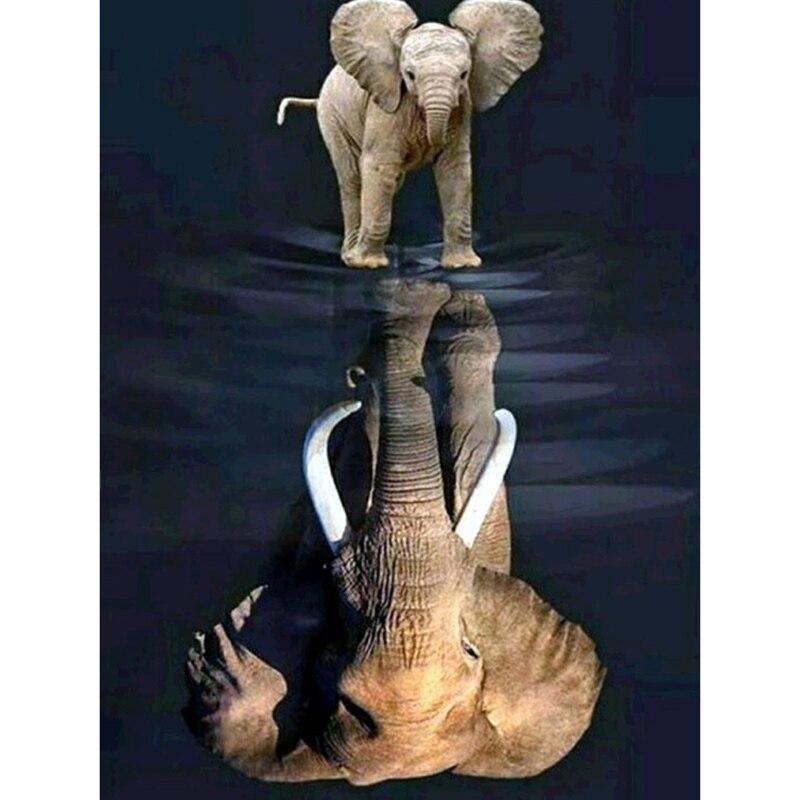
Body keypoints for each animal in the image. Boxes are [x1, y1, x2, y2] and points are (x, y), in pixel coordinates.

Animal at [277, 0, 544, 270]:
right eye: (409, 75)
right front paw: (370, 265)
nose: (431, 139)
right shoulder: (387, 105)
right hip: (331, 115)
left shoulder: (462, 107)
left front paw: (463, 266)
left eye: (464, 75)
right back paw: (352, 258)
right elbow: (380, 167)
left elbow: (454, 169)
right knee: (352, 177)